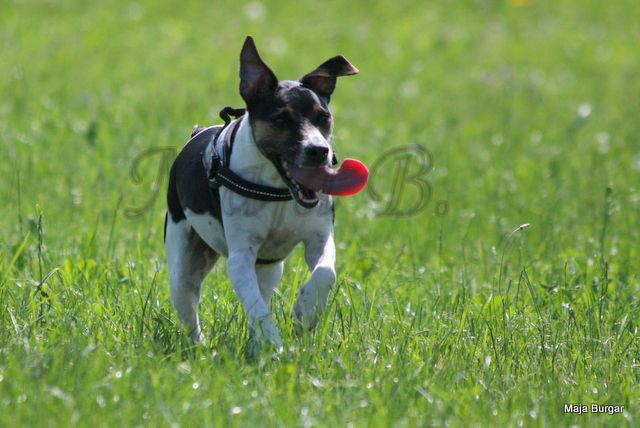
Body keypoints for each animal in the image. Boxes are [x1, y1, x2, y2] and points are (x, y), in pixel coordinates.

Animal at [165, 36, 362, 350]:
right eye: (281, 119)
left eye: (324, 117)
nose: (319, 150)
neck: (278, 189)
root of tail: (197, 132)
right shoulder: (241, 256)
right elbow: (256, 308)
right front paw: (274, 343)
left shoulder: (319, 237)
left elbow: (325, 272)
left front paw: (305, 312)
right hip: (183, 257)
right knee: (187, 299)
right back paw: (202, 346)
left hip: (270, 267)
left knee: (265, 289)